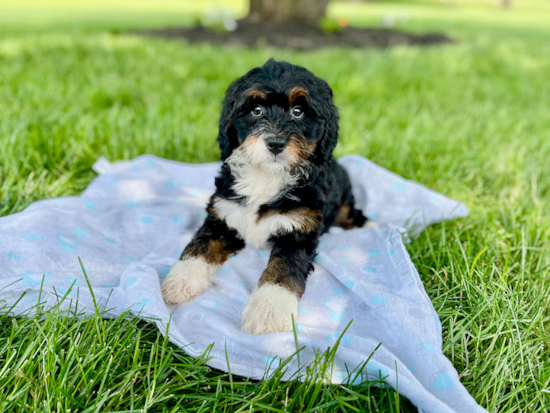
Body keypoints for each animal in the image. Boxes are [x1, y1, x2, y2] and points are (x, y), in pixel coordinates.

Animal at [164, 58, 370, 334]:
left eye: (298, 112)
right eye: (257, 110)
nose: (275, 143)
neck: (267, 176)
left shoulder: (298, 230)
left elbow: (284, 267)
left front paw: (268, 308)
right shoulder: (223, 215)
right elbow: (200, 244)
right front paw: (180, 280)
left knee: (351, 212)